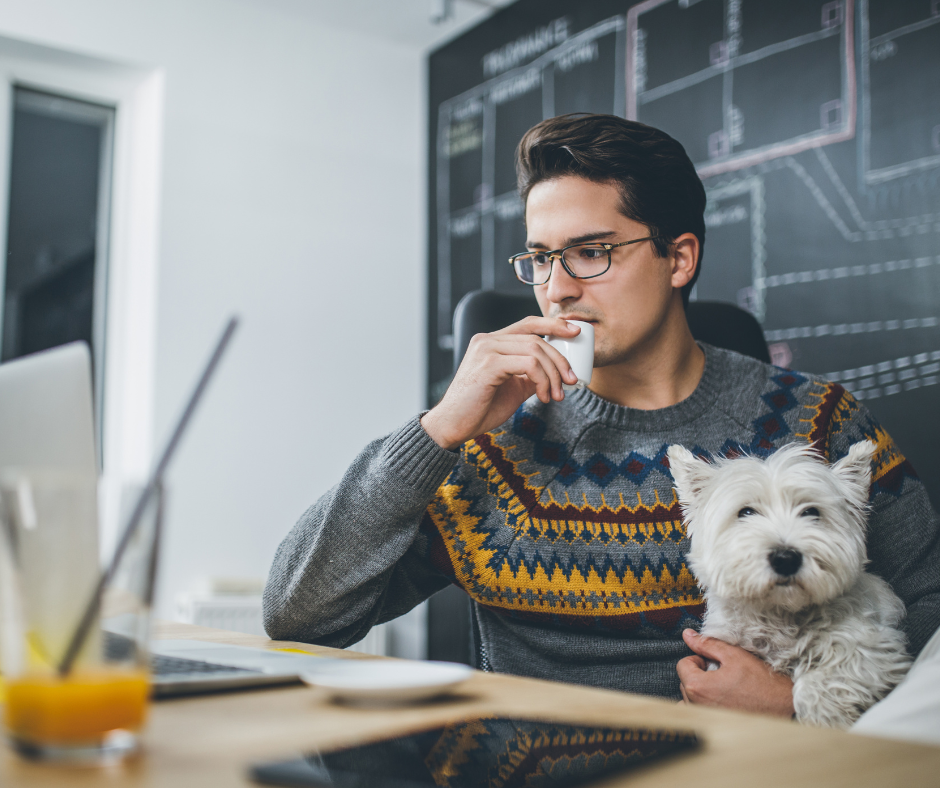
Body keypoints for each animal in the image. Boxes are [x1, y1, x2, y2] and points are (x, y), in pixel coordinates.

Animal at [668, 440, 912, 728]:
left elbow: (832, 672)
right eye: (746, 512)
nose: (786, 559)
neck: (779, 613)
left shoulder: (873, 645)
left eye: (811, 512)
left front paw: (823, 719)